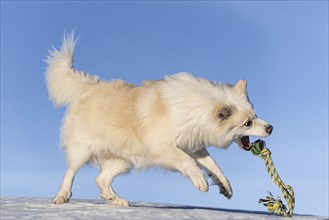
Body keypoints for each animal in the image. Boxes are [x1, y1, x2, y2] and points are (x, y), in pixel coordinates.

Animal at [46, 33, 272, 206]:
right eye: (247, 123)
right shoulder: (163, 147)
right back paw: (61, 197)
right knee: (71, 173)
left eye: (255, 115)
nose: (270, 128)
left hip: (122, 159)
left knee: (101, 180)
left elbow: (214, 165)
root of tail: (90, 88)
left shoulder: (193, 145)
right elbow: (187, 161)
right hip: (82, 150)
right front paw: (200, 181)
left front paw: (226, 187)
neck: (196, 111)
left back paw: (116, 200)